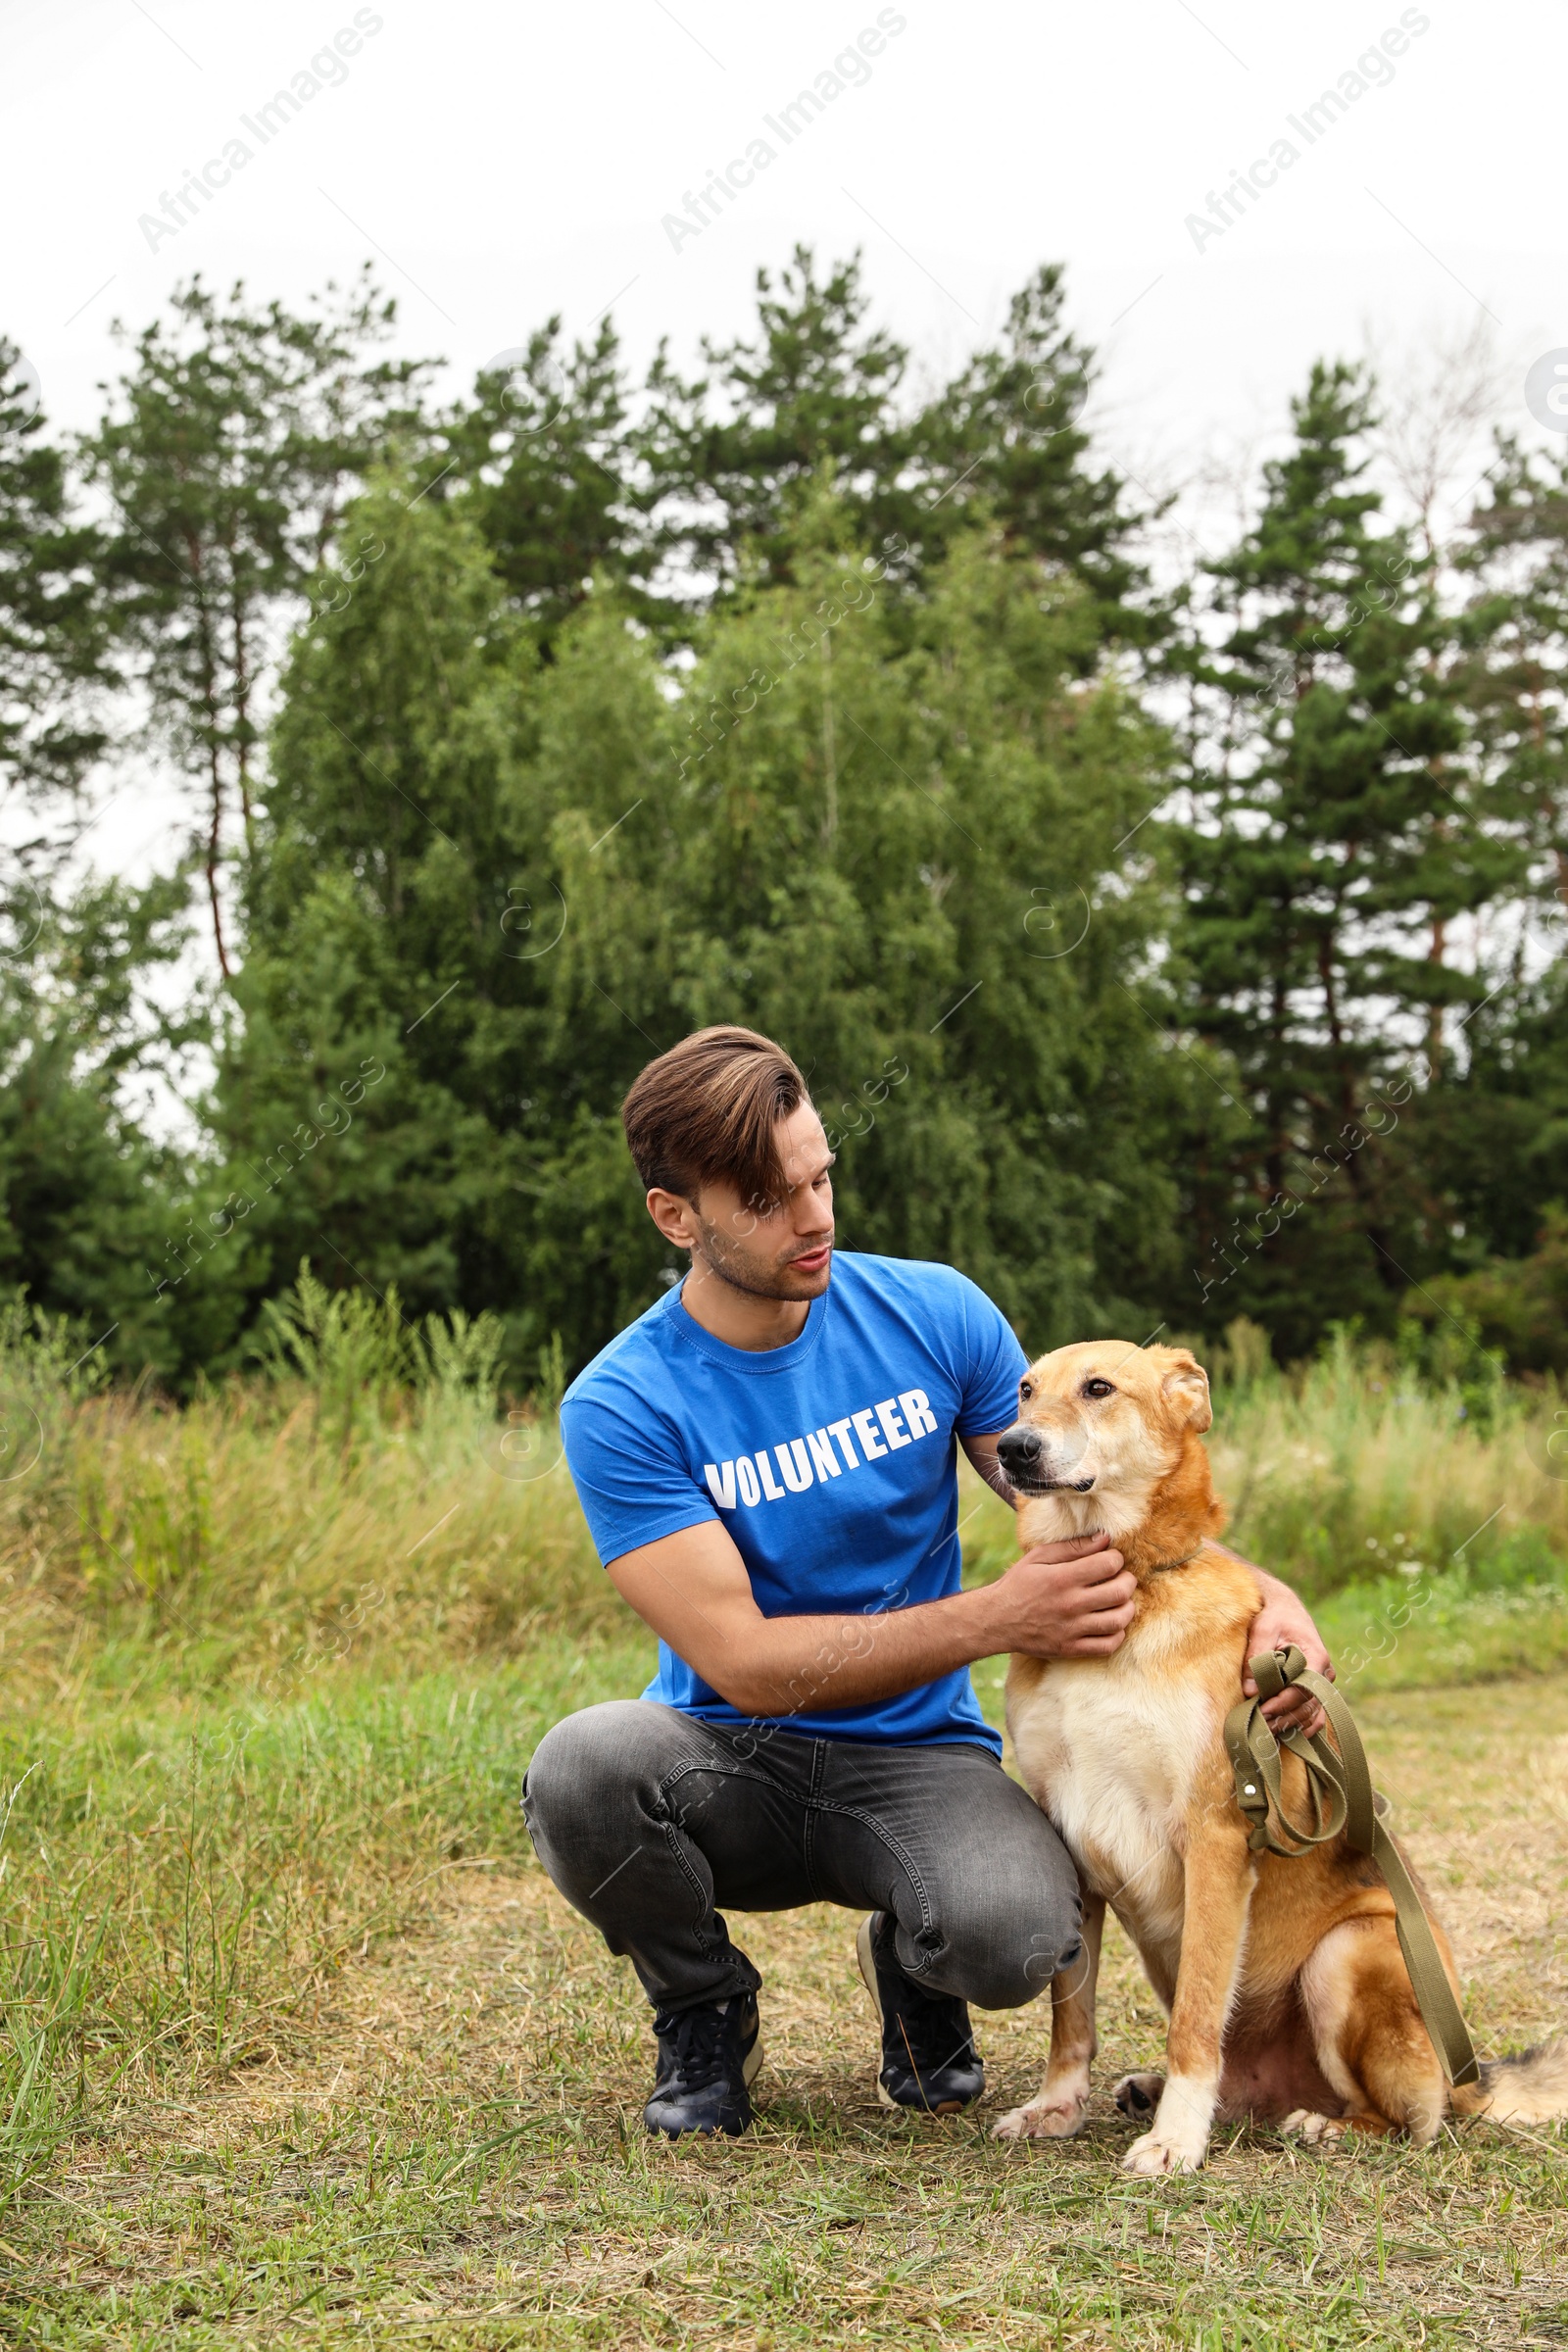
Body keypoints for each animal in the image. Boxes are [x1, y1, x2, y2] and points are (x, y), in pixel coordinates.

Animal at [992, 1345, 1568, 2164]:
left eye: (1098, 1388)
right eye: (1025, 1390)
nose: (1012, 1449)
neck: (1137, 1588)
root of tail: (1471, 2078)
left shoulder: (1214, 1836)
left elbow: (1196, 2017)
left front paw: (1175, 2144)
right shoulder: (1068, 1840)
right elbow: (1071, 2016)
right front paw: (1057, 2107)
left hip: (1349, 1951)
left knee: (1415, 2120)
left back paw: (1327, 2124)